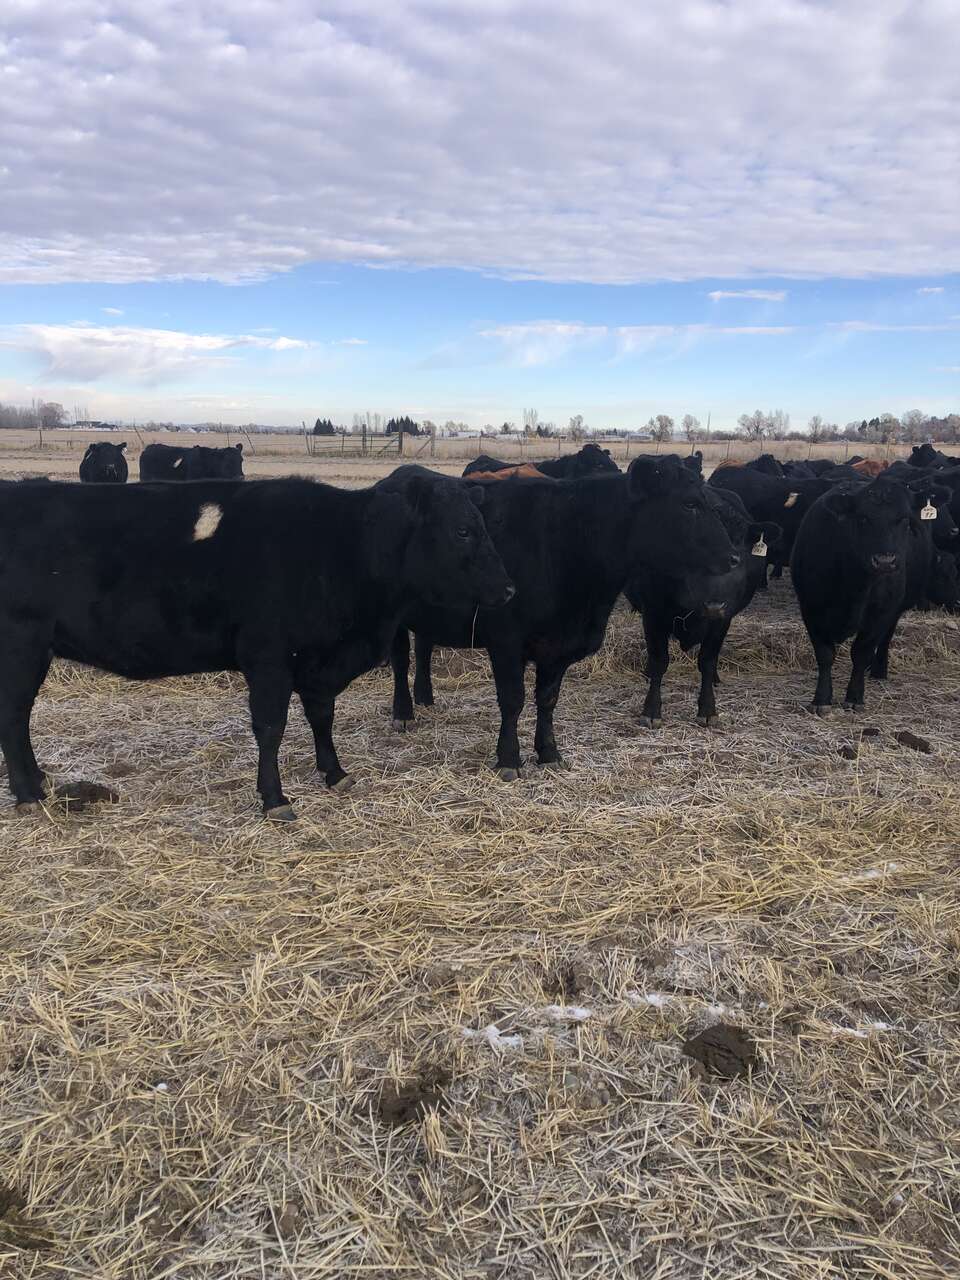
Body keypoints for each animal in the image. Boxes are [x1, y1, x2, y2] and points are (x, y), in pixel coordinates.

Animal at [0, 467, 513, 820]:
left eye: (484, 525)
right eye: (462, 530)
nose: (509, 589)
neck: (341, 546)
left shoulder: (315, 660)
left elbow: (321, 717)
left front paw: (335, 774)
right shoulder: (268, 658)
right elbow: (271, 727)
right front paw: (275, 799)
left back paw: (39, 782)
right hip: (22, 645)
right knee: (13, 716)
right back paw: (28, 795)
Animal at [389, 455, 739, 778]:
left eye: (712, 504)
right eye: (689, 503)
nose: (734, 557)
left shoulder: (559, 647)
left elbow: (547, 699)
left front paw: (549, 753)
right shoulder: (505, 641)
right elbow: (513, 700)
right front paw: (509, 760)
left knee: (423, 647)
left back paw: (425, 697)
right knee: (401, 660)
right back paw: (403, 713)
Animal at [626, 487, 782, 726]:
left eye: (738, 559)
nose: (714, 604)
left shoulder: (722, 621)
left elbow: (707, 661)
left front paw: (708, 709)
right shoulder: (653, 614)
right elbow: (659, 660)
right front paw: (651, 710)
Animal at [791, 477, 953, 714]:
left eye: (904, 519)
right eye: (863, 518)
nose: (885, 561)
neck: (855, 584)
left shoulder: (881, 611)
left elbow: (861, 652)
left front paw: (854, 697)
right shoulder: (811, 608)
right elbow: (825, 654)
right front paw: (821, 699)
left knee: (885, 638)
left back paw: (878, 670)